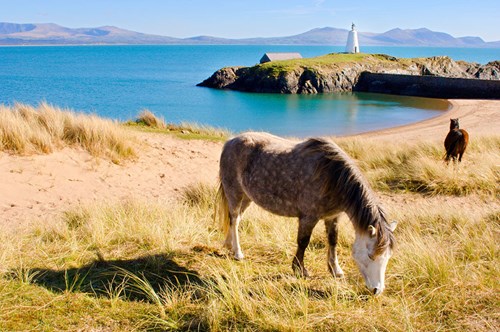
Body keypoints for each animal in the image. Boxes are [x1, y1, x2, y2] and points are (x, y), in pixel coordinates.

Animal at [217, 131, 396, 294]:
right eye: (371, 255)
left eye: (388, 256)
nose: (377, 290)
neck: (332, 176)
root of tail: (230, 142)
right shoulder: (309, 217)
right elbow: (303, 242)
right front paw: (300, 269)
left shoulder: (332, 217)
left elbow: (333, 241)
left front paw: (335, 270)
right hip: (234, 193)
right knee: (234, 219)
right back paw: (238, 253)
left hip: (247, 197)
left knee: (235, 220)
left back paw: (228, 245)